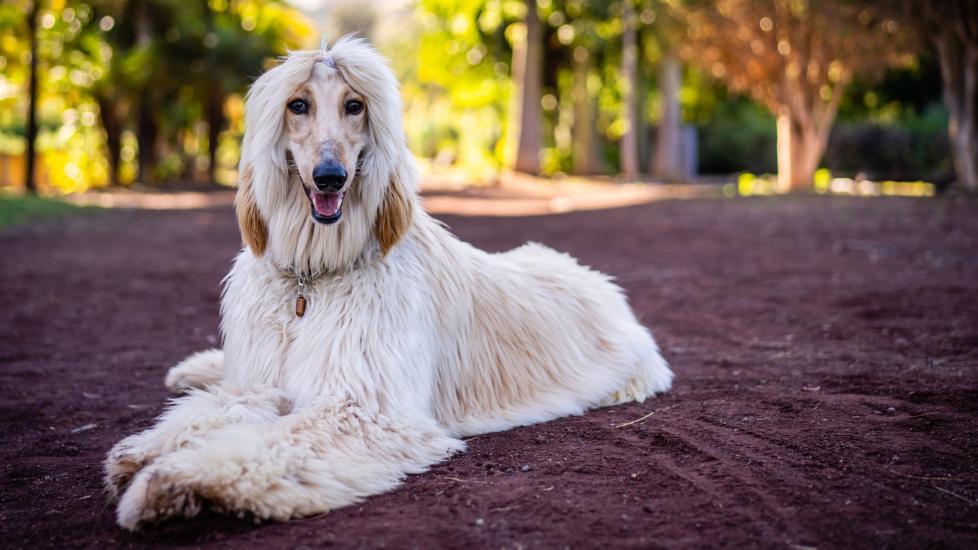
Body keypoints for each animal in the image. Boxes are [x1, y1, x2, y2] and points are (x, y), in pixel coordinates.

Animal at [107, 37, 672, 532]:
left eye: (354, 105)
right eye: (298, 105)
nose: (330, 176)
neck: (312, 278)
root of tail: (600, 283)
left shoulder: (362, 409)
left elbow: (268, 443)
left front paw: (169, 481)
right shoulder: (262, 380)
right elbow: (219, 407)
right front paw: (145, 450)